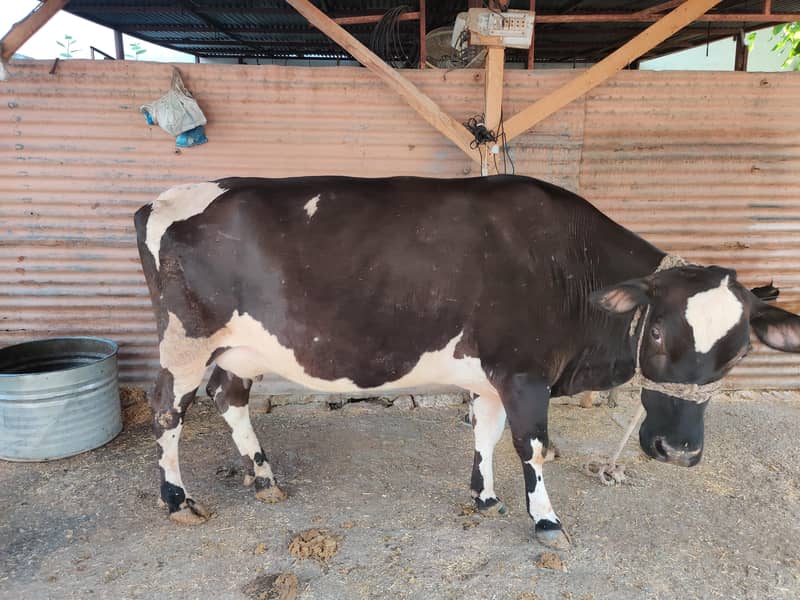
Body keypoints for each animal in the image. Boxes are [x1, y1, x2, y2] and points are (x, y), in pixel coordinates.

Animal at [134, 175, 800, 549]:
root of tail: (165, 198)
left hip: (240, 347)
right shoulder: (525, 372)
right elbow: (532, 446)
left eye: (741, 350)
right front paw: (545, 522)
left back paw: (265, 478)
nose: (678, 452)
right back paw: (178, 499)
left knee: (229, 397)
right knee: (168, 410)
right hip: (185, 340)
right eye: (658, 331)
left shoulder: (492, 374)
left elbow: (486, 432)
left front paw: (485, 498)